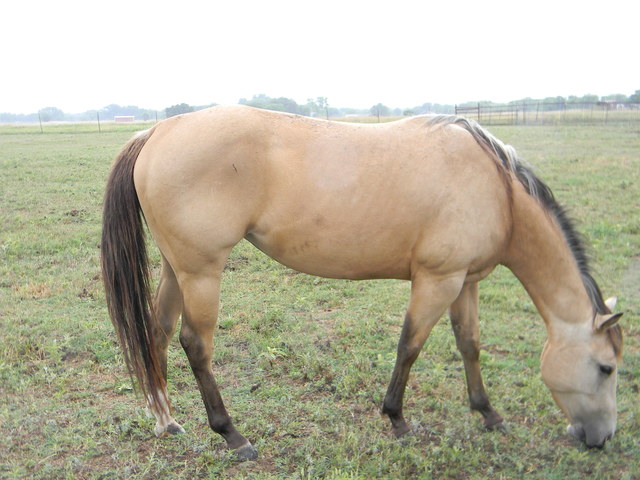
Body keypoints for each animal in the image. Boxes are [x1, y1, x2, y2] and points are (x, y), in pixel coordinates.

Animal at [101, 105, 623, 460]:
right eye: (606, 368)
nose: (602, 439)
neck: (497, 190)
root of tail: (159, 130)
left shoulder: (465, 281)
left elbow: (469, 344)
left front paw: (487, 413)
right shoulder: (437, 280)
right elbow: (409, 346)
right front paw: (397, 420)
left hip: (177, 269)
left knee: (157, 331)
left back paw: (165, 420)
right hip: (202, 273)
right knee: (195, 344)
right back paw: (232, 434)